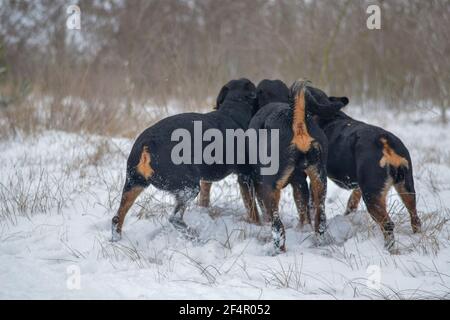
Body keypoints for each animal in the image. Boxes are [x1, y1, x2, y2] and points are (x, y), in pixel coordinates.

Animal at [110, 79, 256, 241]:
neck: (233, 109)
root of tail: (147, 144)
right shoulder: (245, 176)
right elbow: (253, 208)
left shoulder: (207, 177)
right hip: (188, 187)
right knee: (175, 219)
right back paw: (194, 235)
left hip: (134, 183)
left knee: (117, 218)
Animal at [246, 79, 348, 251]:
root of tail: (296, 120)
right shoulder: (299, 182)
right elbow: (303, 208)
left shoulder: (259, 183)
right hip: (319, 180)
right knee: (320, 218)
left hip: (270, 187)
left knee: (277, 226)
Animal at [312, 92, 422, 252]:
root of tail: (384, 142)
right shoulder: (359, 185)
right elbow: (352, 202)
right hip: (406, 188)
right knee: (415, 217)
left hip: (372, 196)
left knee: (388, 224)